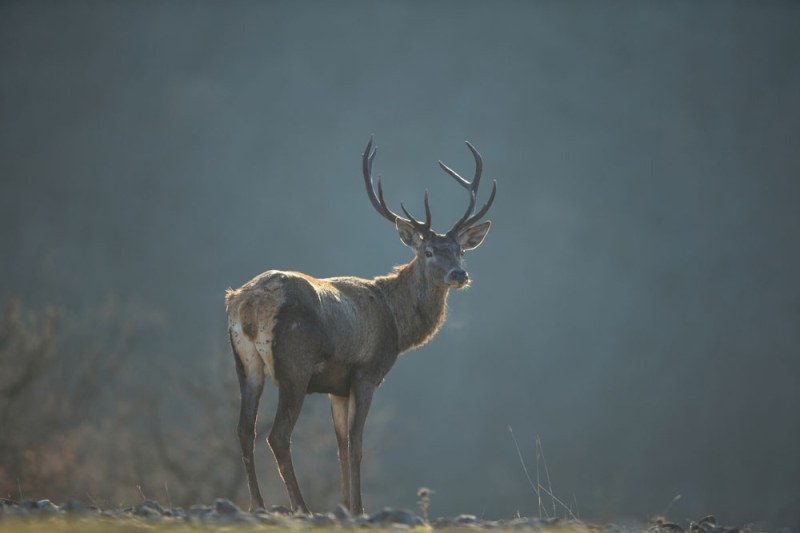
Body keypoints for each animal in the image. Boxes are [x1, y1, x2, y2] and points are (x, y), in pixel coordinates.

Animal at [225, 137, 496, 516]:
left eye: (461, 251)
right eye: (427, 251)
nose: (460, 274)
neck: (396, 324)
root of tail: (247, 304)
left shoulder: (336, 387)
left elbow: (339, 445)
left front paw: (344, 506)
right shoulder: (366, 372)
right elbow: (356, 445)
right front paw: (359, 509)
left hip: (246, 364)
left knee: (243, 430)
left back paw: (257, 505)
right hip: (294, 363)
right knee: (277, 435)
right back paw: (300, 506)